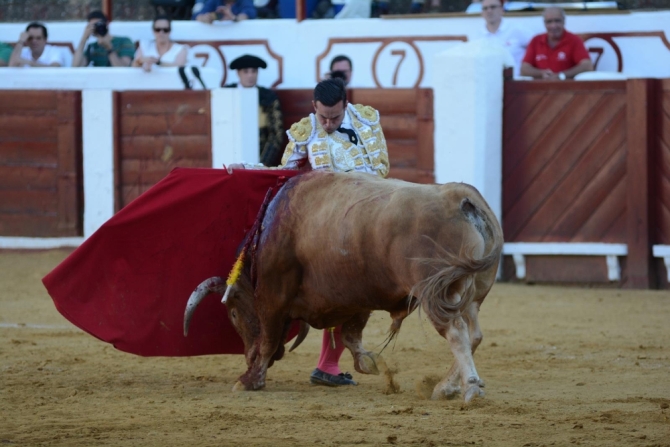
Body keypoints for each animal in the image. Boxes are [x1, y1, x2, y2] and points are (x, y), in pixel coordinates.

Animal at [184, 172, 504, 402]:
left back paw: (470, 388)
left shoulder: (272, 299)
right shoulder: (355, 299)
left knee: (456, 332)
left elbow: (268, 340)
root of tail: (459, 196)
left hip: (435, 292)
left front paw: (249, 379)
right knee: (474, 334)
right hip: (471, 294)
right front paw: (370, 363)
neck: (268, 233)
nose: (246, 356)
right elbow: (350, 336)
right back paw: (446, 387)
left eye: (233, 313)